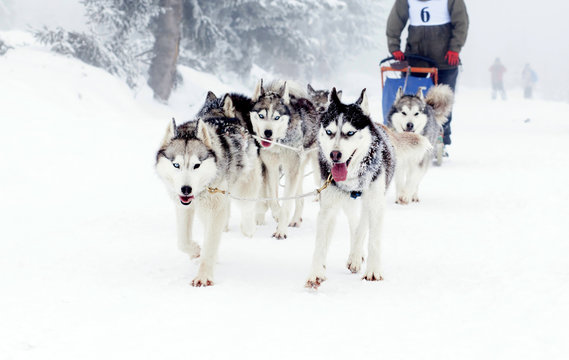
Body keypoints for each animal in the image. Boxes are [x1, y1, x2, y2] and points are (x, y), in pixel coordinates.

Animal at [156, 118, 260, 286]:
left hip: (243, 190)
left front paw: (203, 276)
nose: (186, 189)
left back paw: (248, 229)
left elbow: (210, 245)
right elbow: (182, 241)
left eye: (196, 165)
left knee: (247, 209)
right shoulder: (184, 207)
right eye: (176, 165)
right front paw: (196, 251)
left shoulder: (216, 210)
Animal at [250, 79, 320, 239]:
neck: (279, 143)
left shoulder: (291, 170)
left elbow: (286, 205)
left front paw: (281, 230)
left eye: (276, 117)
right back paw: (295, 220)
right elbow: (273, 198)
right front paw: (277, 213)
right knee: (299, 199)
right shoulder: (272, 168)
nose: (268, 132)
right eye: (261, 116)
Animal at [306, 88, 394, 290]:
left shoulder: (376, 204)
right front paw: (315, 273)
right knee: (353, 222)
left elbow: (373, 240)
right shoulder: (327, 207)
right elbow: (320, 243)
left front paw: (373, 271)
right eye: (329, 132)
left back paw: (355, 256)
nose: (334, 155)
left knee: (361, 225)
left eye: (350, 132)